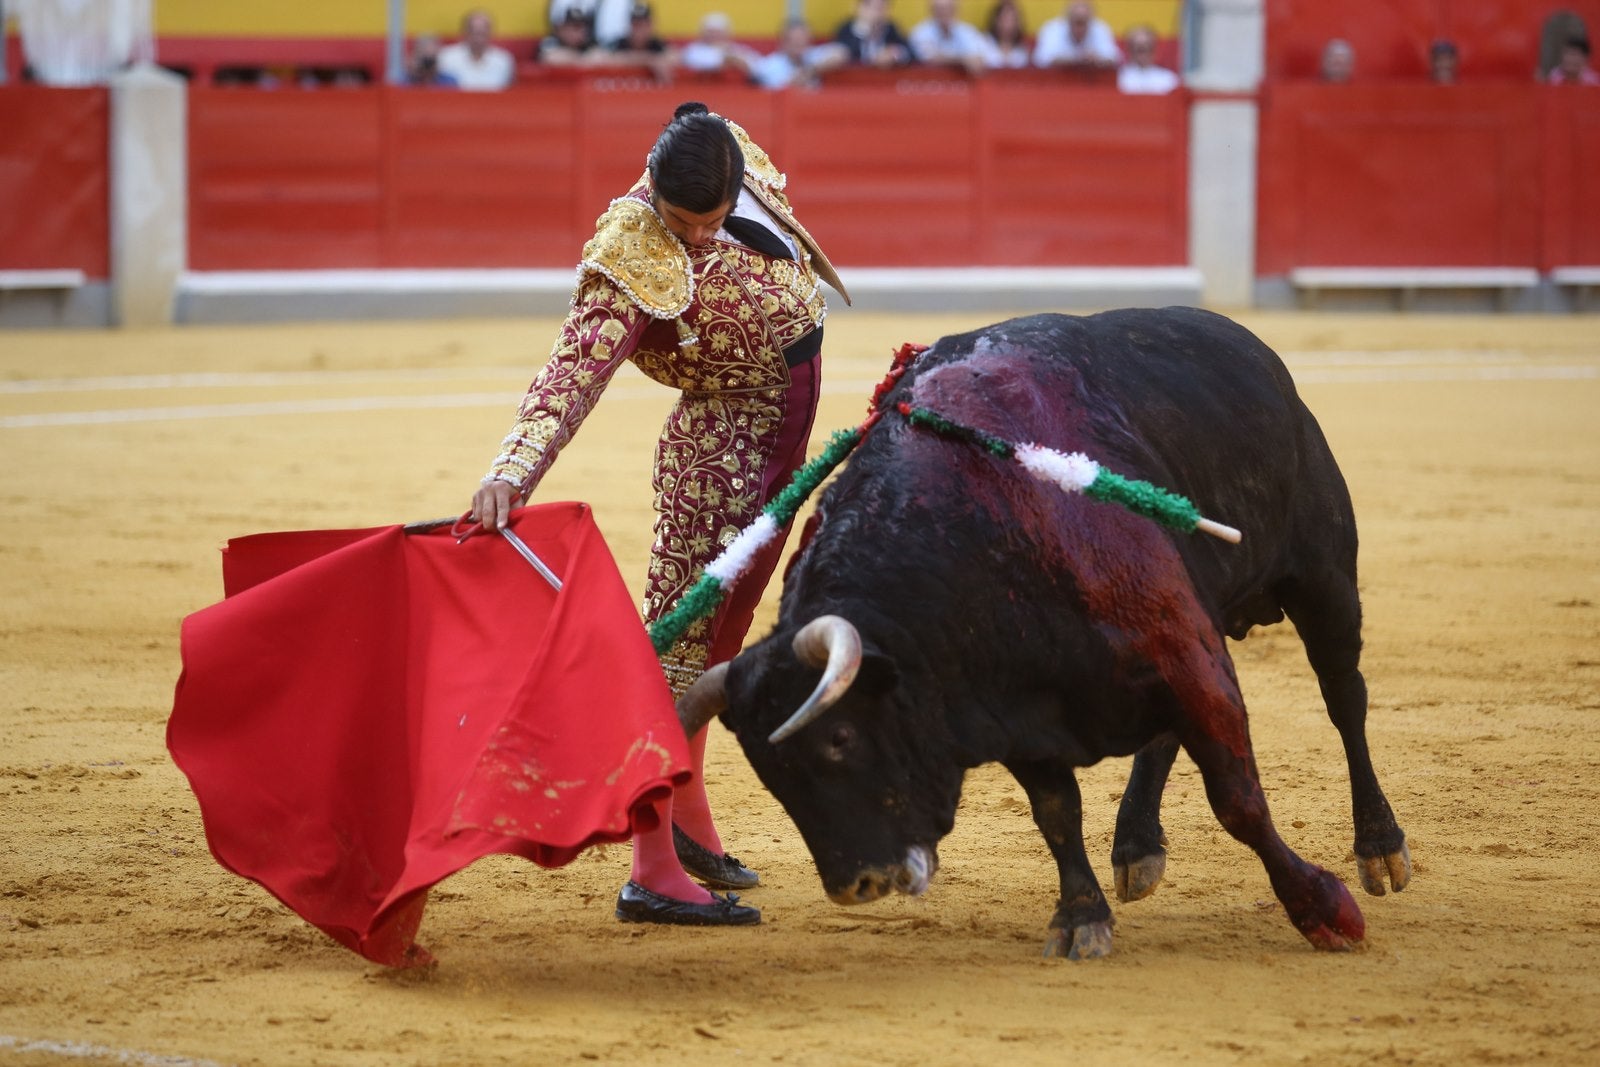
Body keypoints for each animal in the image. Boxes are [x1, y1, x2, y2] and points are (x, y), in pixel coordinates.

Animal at [675, 307, 1414, 959]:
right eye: (769, 772)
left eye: (840, 737)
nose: (857, 884)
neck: (980, 531)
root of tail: (1255, 353)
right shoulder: (1018, 704)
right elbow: (1058, 812)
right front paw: (1082, 917)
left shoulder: (1183, 654)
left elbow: (1238, 800)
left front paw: (1325, 910)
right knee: (1166, 737)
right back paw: (1137, 846)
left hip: (1323, 581)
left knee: (1345, 699)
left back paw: (1380, 848)